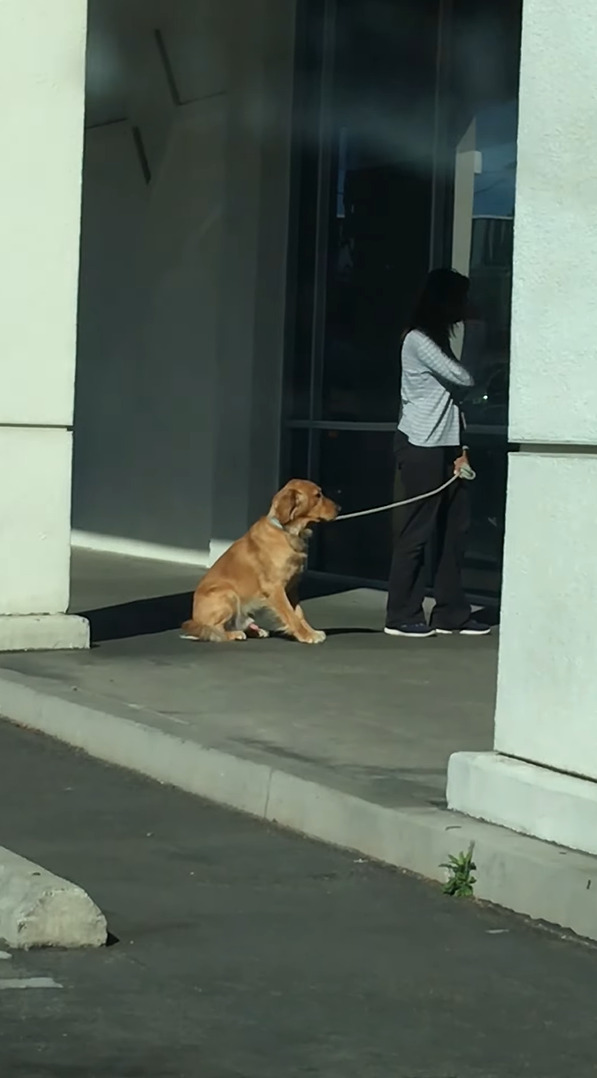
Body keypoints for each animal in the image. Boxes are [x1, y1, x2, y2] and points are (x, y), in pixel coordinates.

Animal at [178, 482, 336, 646]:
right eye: (318, 495)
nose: (339, 508)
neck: (288, 532)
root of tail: (196, 621)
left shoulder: (292, 587)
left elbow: (299, 614)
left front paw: (311, 632)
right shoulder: (275, 587)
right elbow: (290, 615)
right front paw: (306, 635)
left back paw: (255, 631)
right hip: (228, 594)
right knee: (215, 630)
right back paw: (234, 634)